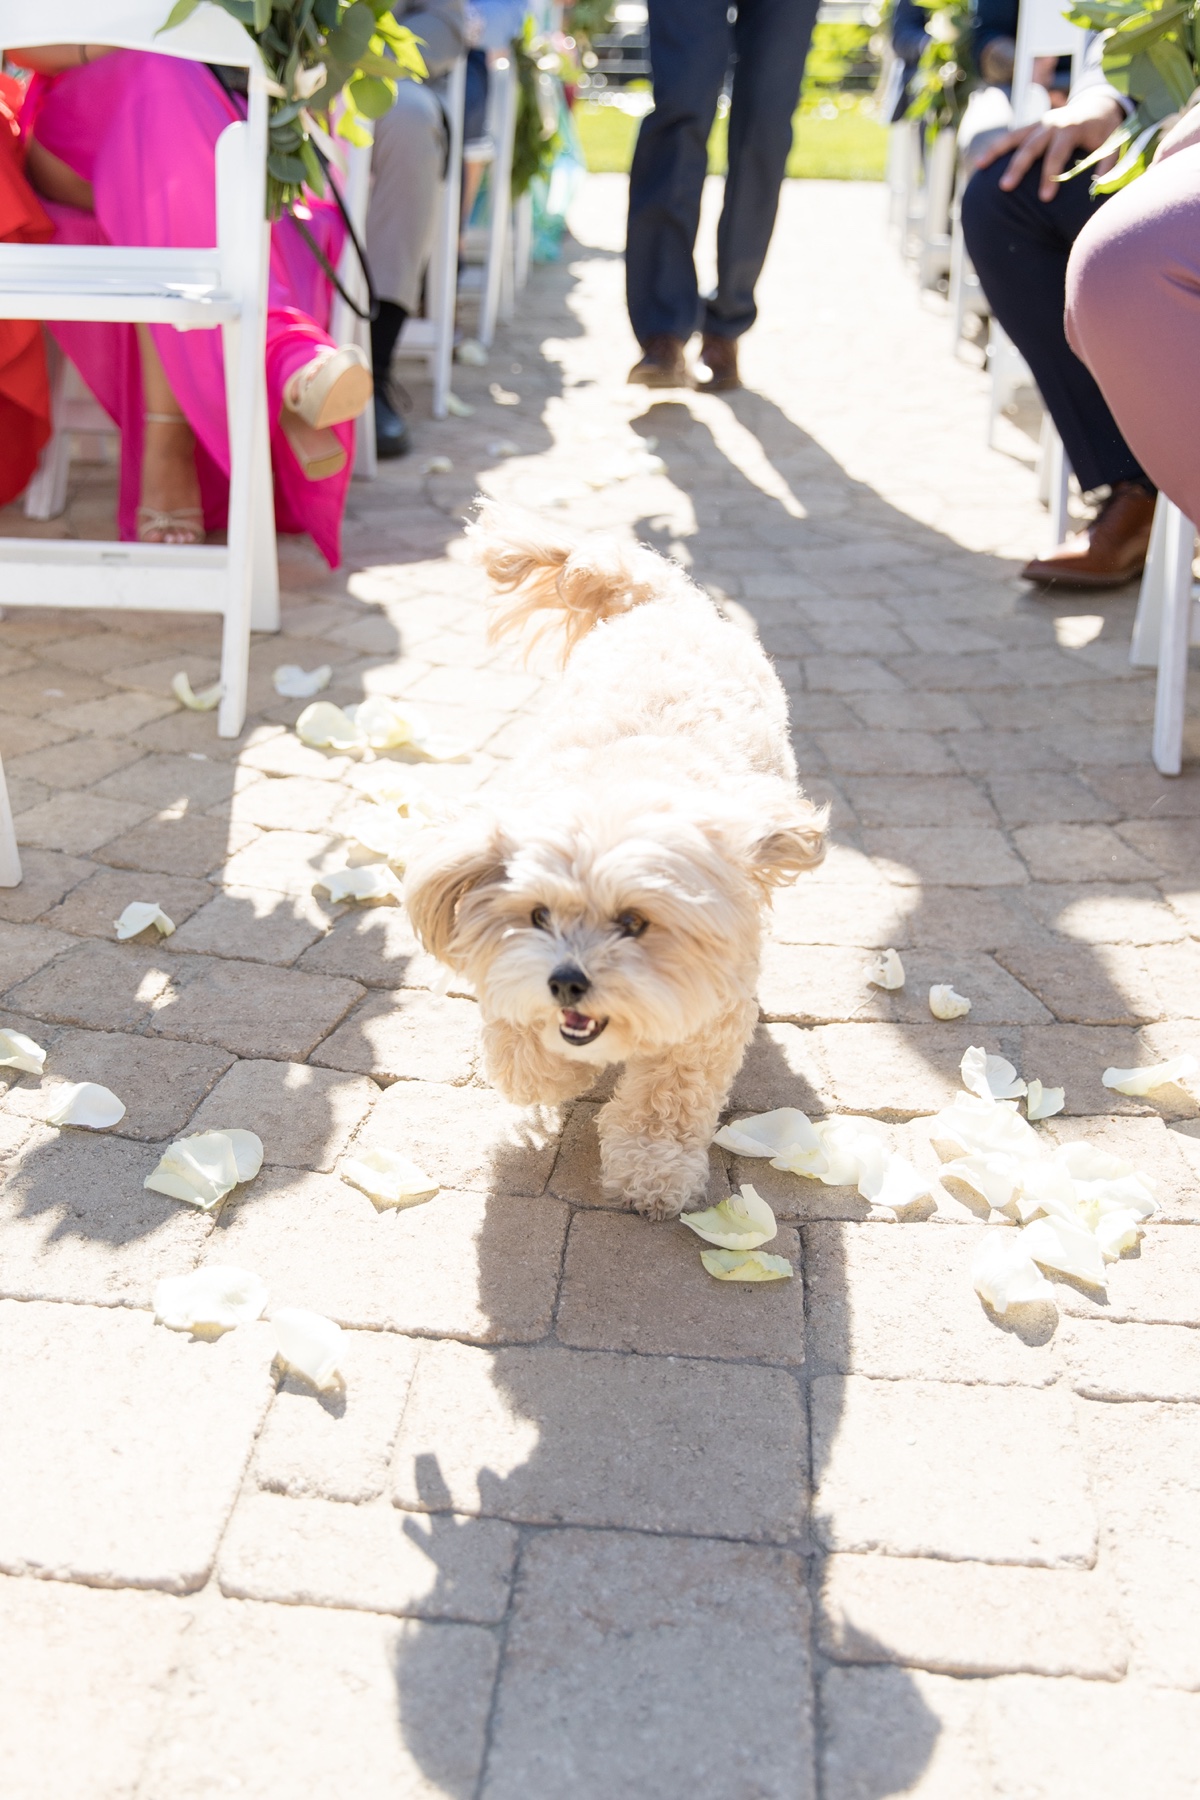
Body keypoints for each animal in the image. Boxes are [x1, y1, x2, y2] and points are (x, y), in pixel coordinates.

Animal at [406, 500, 827, 1216]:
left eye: (634, 922)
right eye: (538, 916)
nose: (566, 982)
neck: (620, 784)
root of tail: (661, 597)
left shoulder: (707, 1020)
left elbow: (667, 1097)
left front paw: (652, 1169)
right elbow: (522, 1053)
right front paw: (552, 1069)